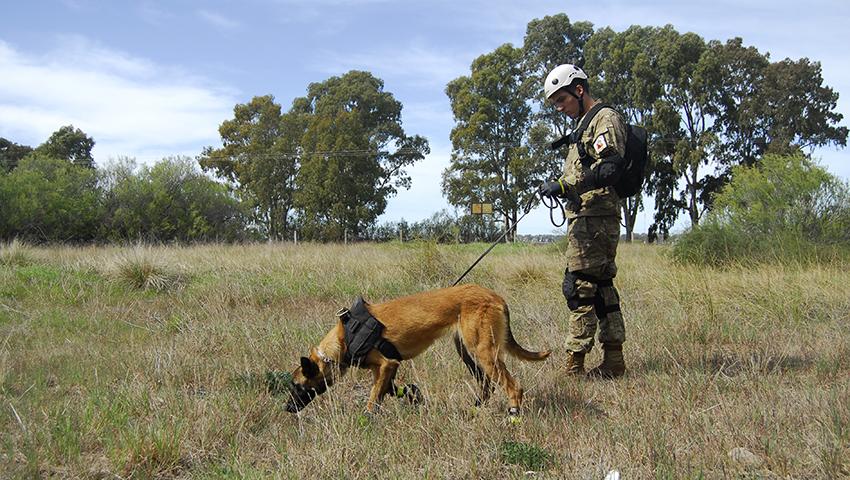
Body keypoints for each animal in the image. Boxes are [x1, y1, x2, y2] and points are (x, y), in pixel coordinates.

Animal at [284, 284, 548, 416]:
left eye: (297, 386)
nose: (286, 408)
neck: (345, 337)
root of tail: (497, 298)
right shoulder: (387, 369)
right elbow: (390, 391)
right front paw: (413, 395)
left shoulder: (386, 365)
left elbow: (372, 400)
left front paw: (367, 420)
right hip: (466, 351)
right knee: (486, 384)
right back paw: (473, 410)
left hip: (483, 352)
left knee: (513, 386)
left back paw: (513, 414)